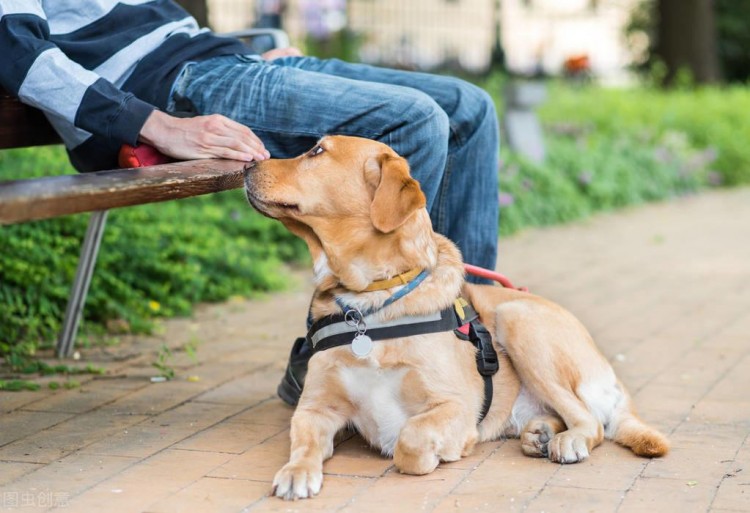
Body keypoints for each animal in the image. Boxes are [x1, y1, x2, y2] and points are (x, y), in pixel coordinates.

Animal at [245, 134, 668, 498]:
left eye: (317, 151)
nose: (249, 163)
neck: (370, 301)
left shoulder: (456, 404)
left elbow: (411, 441)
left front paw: (442, 451)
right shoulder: (315, 408)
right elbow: (302, 443)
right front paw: (297, 472)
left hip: (517, 320)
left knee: (590, 421)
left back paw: (567, 439)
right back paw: (541, 432)